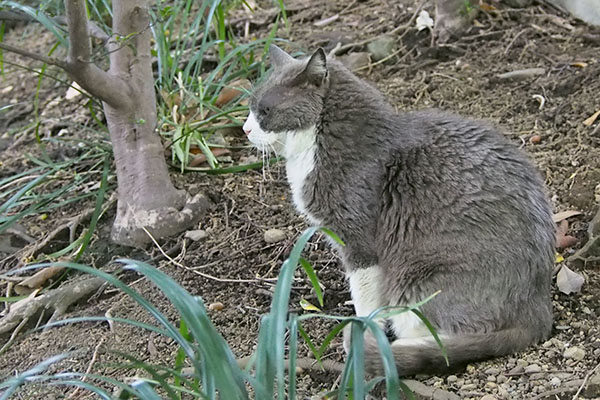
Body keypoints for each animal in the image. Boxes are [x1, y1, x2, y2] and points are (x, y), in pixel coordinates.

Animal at [243, 45, 552, 376]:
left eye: (265, 110)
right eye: (250, 106)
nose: (245, 128)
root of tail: (537, 307)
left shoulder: (359, 239)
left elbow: (365, 294)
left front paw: (363, 328)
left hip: (417, 279)